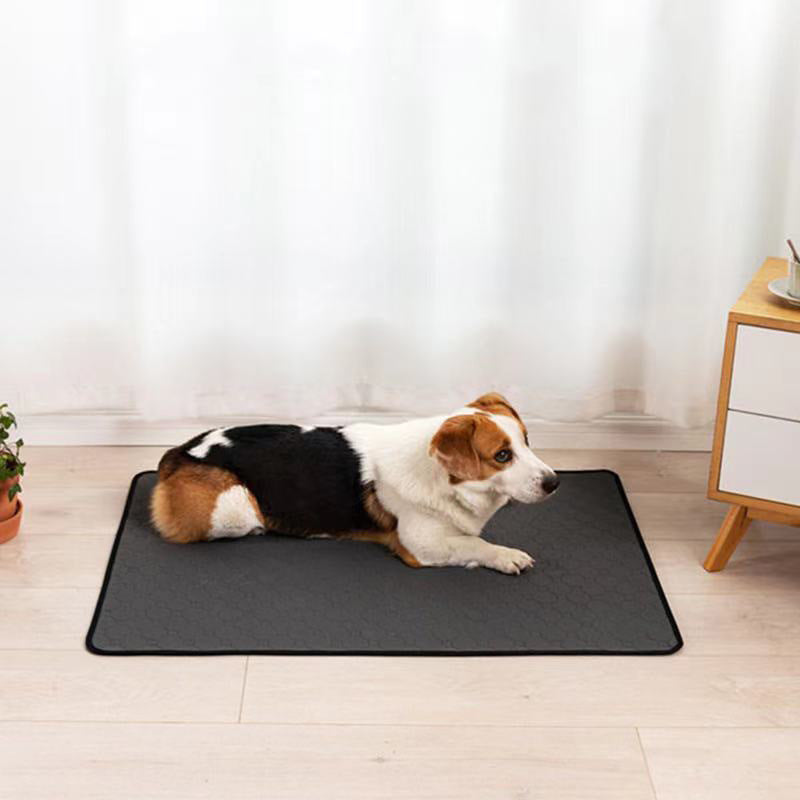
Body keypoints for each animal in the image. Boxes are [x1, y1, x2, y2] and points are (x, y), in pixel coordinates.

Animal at [153, 392, 560, 572]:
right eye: (502, 456)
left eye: (527, 441)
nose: (554, 482)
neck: (446, 480)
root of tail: (180, 450)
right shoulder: (421, 547)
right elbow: (474, 544)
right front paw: (506, 556)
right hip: (236, 508)